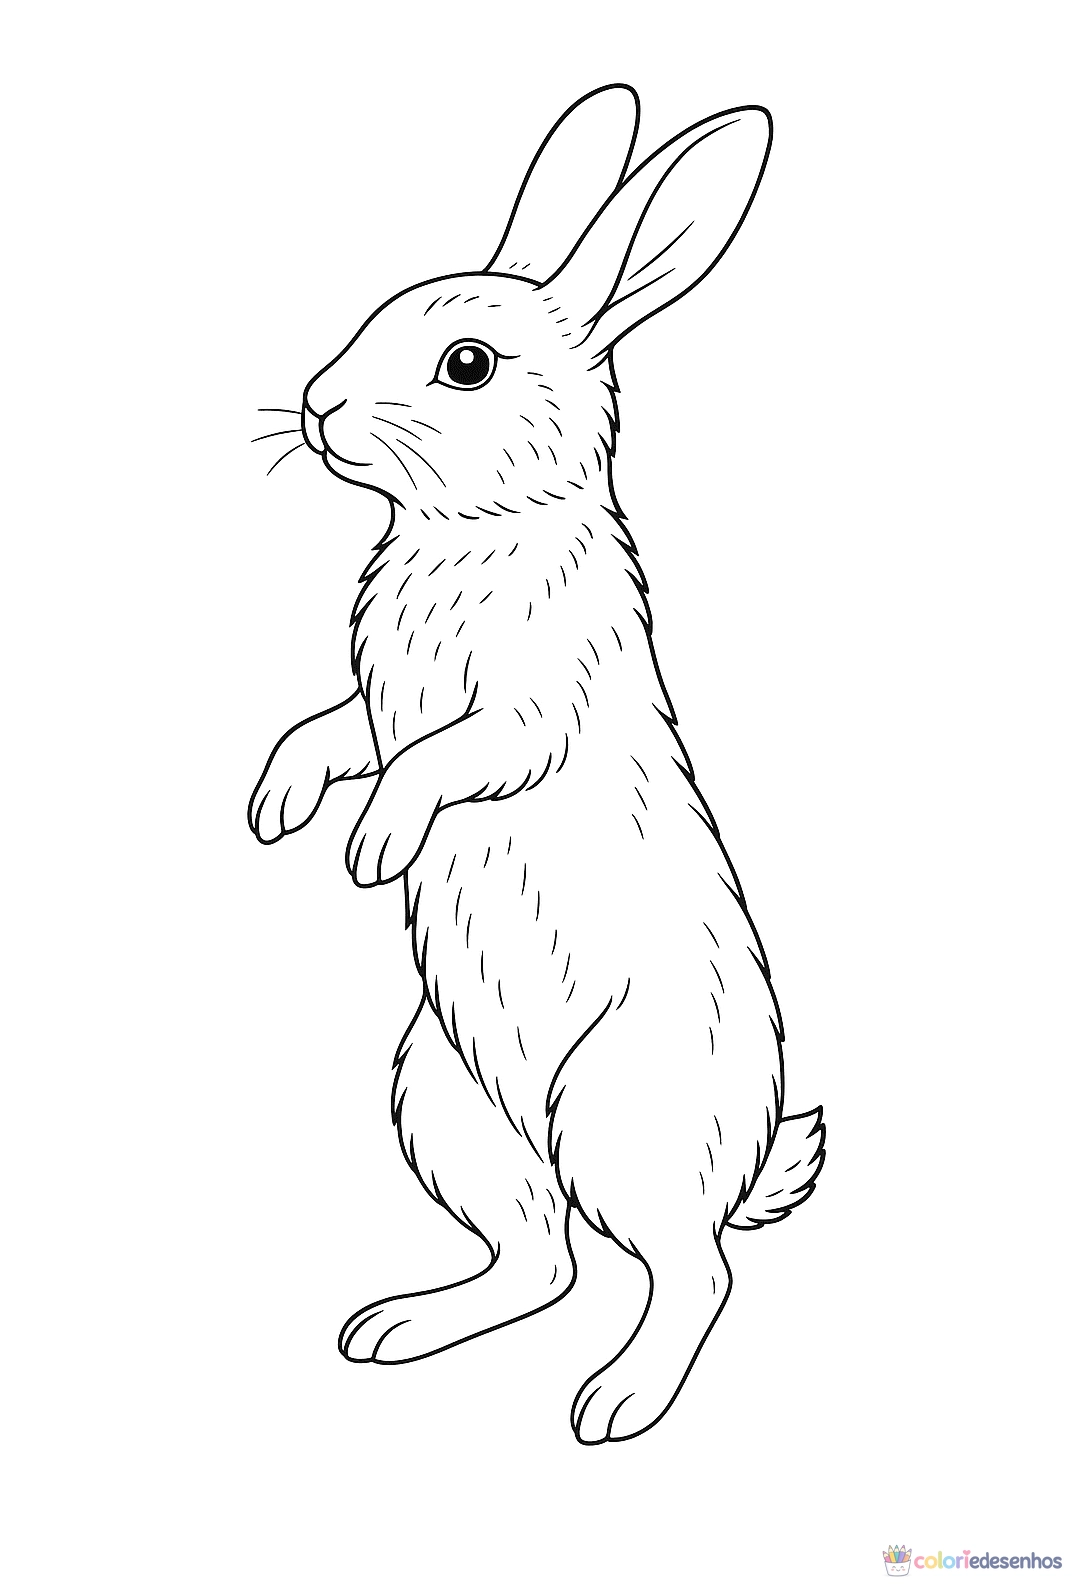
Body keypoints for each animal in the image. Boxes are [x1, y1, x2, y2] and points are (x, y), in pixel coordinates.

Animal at [248, 84, 825, 1444]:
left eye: (466, 364)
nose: (315, 404)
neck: (476, 530)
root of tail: (743, 1159)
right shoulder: (375, 706)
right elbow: (332, 732)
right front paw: (278, 807)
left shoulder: (523, 716)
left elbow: (440, 760)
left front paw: (372, 848)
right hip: (447, 1102)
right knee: (542, 1260)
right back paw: (393, 1331)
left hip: (618, 1116)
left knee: (690, 1271)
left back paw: (616, 1404)